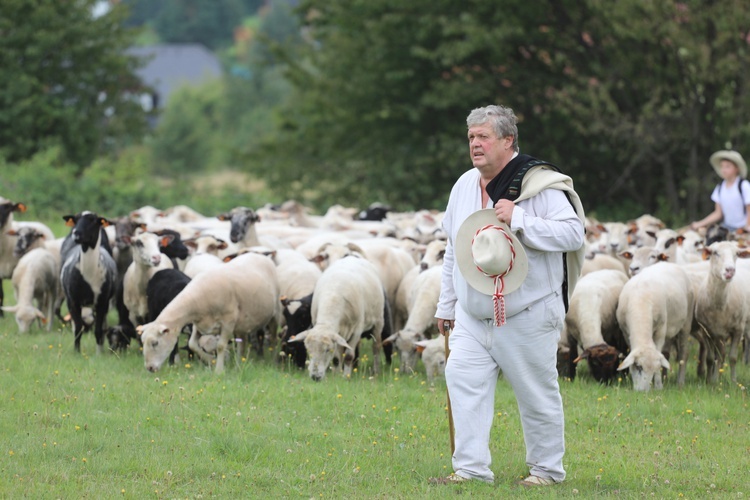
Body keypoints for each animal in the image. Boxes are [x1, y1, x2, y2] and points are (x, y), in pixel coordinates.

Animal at [139, 252, 282, 374]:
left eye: (155, 343)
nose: (149, 368)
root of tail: (259, 255)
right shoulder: (199, 324)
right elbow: (192, 344)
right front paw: (210, 360)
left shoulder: (228, 322)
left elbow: (220, 346)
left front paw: (218, 371)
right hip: (243, 322)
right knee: (242, 342)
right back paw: (239, 365)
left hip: (275, 314)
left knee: (274, 339)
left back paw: (275, 361)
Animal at [620, 262, 696, 390]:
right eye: (638, 366)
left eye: (655, 369)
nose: (642, 391)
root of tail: (669, 263)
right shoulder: (626, 333)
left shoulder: (660, 331)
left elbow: (659, 353)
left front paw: (658, 385)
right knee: (666, 353)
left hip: (686, 322)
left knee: (683, 354)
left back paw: (680, 382)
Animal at [692, 242, 750, 382]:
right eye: (715, 253)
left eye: (737, 254)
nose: (730, 270)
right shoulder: (707, 331)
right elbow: (710, 358)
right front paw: (709, 381)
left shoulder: (738, 330)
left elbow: (732, 357)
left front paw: (733, 381)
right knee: (720, 355)